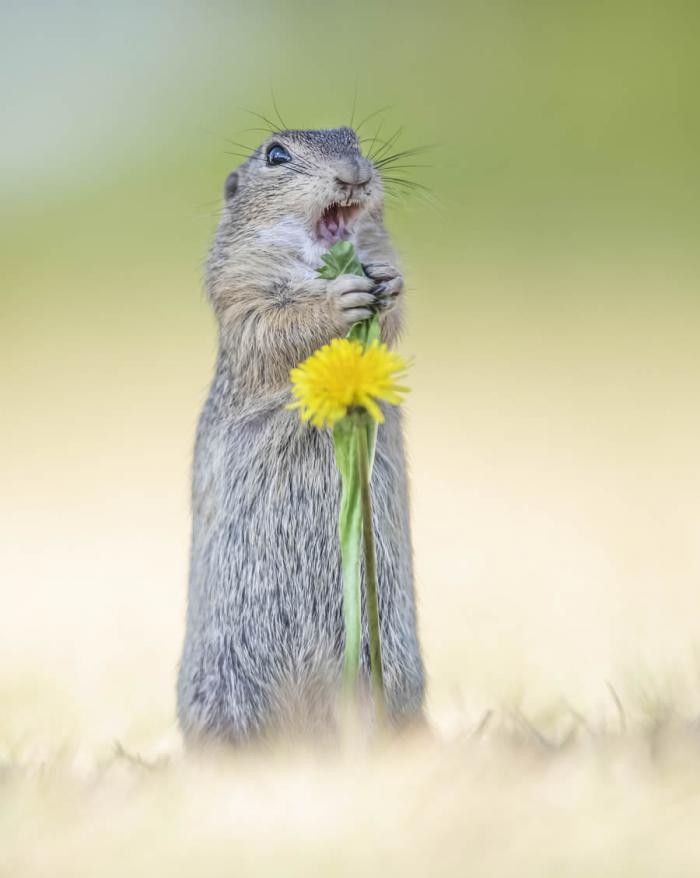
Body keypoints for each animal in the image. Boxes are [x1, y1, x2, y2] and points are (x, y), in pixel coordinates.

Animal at [178, 127, 424, 744]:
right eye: (276, 155)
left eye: (354, 138)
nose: (354, 172)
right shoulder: (241, 295)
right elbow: (274, 326)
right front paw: (338, 301)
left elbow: (390, 320)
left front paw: (388, 282)